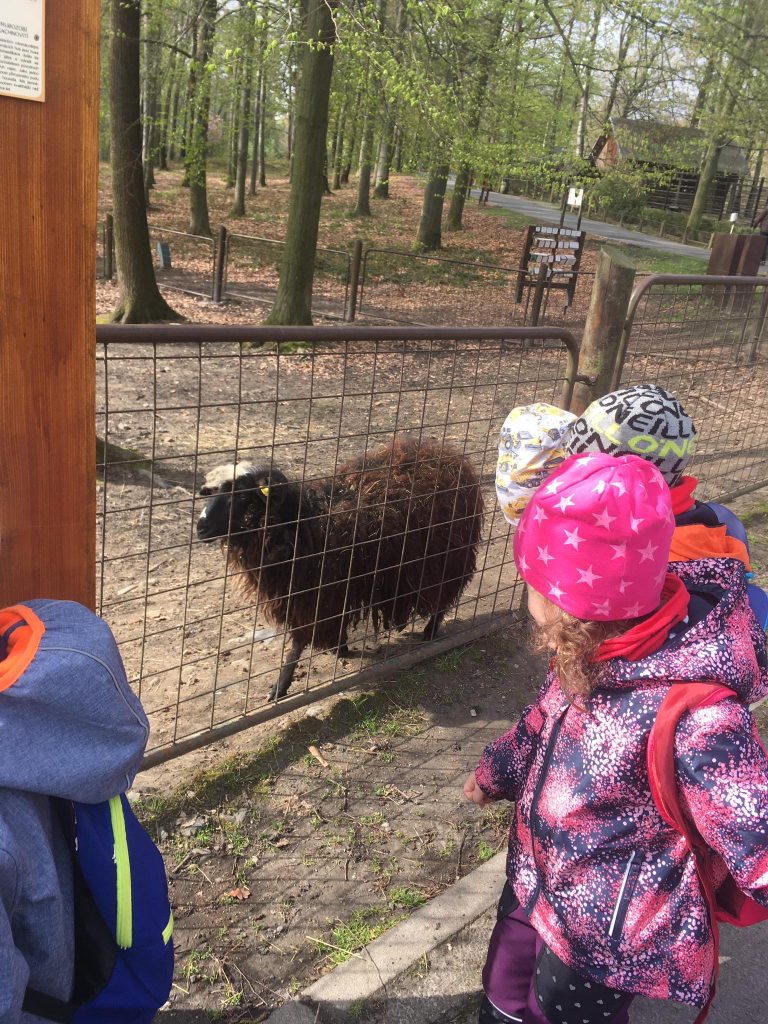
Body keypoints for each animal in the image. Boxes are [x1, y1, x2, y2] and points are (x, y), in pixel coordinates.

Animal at [197, 435, 484, 701]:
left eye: (241, 497)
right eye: (210, 494)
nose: (201, 528)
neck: (302, 523)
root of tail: (449, 454)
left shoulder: (315, 593)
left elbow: (298, 641)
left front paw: (281, 686)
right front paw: (340, 647)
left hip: (448, 558)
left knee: (443, 597)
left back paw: (429, 632)